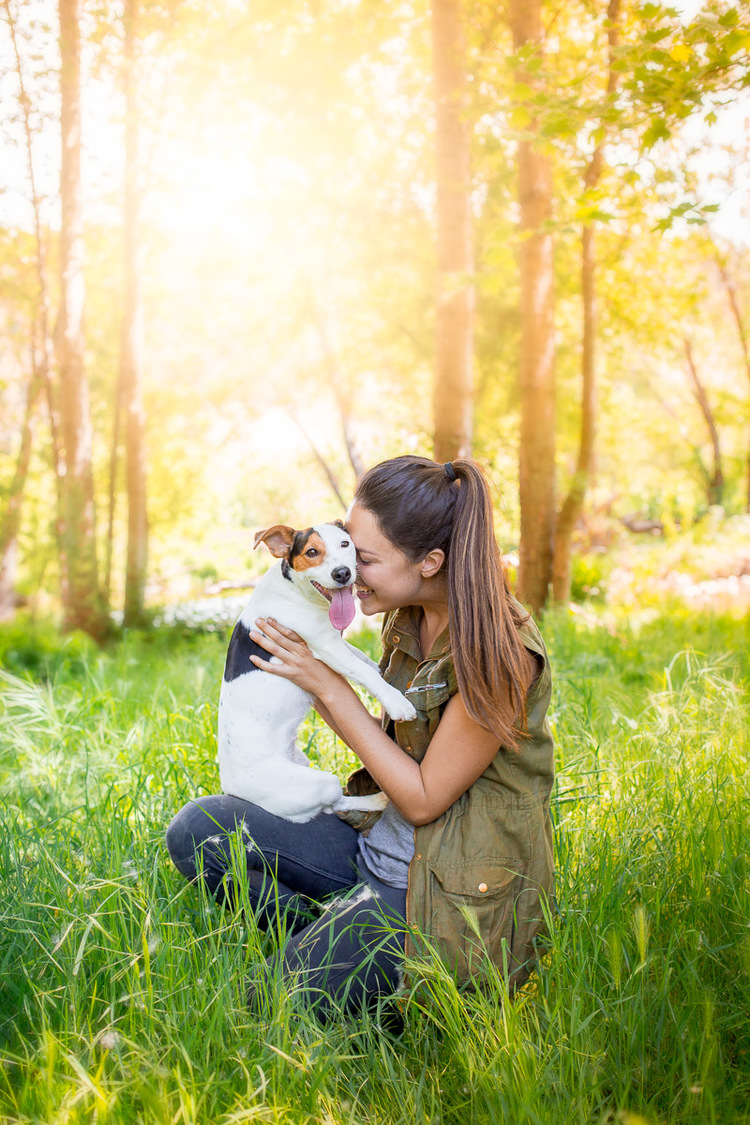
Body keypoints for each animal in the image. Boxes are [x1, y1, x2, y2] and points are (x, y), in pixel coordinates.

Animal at [217, 519, 420, 828]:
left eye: (345, 544)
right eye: (311, 552)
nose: (342, 573)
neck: (297, 591)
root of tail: (231, 788)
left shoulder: (335, 639)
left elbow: (365, 661)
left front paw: (385, 674)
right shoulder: (326, 646)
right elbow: (365, 672)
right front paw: (397, 702)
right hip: (320, 783)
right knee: (334, 804)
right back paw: (376, 800)